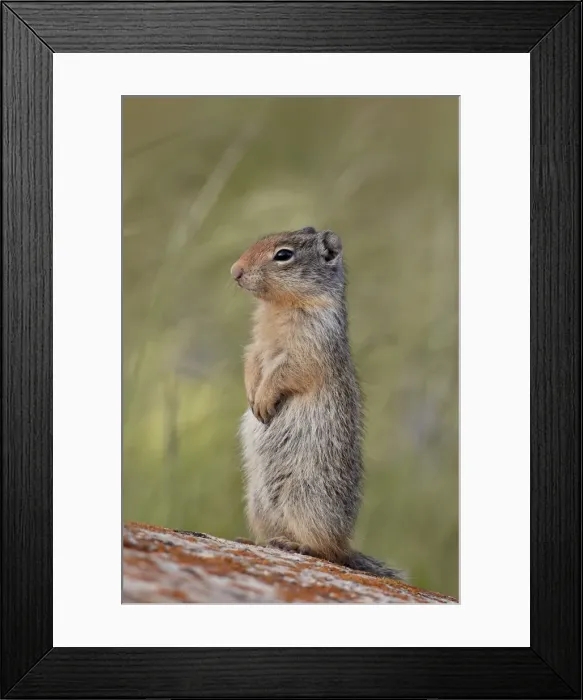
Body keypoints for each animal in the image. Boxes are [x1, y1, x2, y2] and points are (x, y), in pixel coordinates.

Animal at [230, 226, 403, 580]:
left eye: (283, 255)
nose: (234, 271)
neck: (278, 307)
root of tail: (345, 543)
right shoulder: (256, 344)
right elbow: (252, 360)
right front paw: (252, 395)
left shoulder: (310, 345)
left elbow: (288, 371)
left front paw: (263, 401)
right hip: (258, 503)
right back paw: (258, 541)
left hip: (306, 499)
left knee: (328, 552)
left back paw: (299, 546)